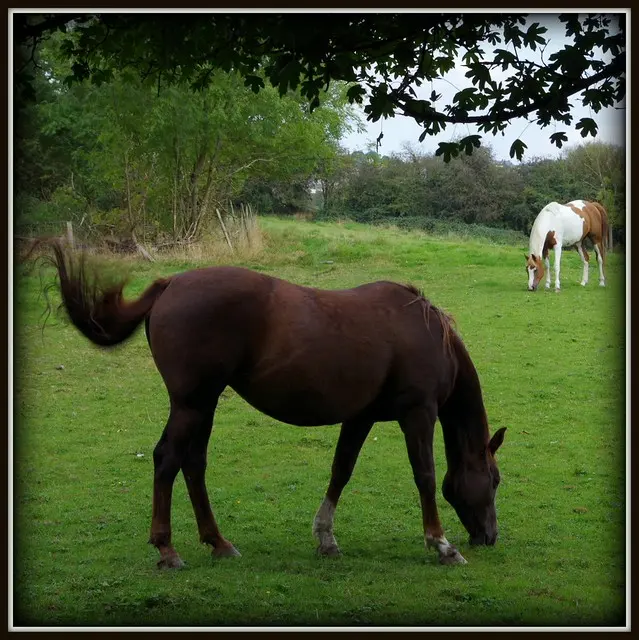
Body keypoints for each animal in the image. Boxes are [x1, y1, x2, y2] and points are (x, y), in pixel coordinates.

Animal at [44, 241, 506, 567]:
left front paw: (326, 538)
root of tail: (171, 284)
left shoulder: (360, 418)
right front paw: (441, 545)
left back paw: (219, 543)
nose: (489, 537)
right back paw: (167, 549)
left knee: (193, 464)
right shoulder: (418, 414)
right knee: (167, 460)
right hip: (191, 404)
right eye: (495, 480)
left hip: (204, 405)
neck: (425, 332)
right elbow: (424, 476)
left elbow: (341, 471)